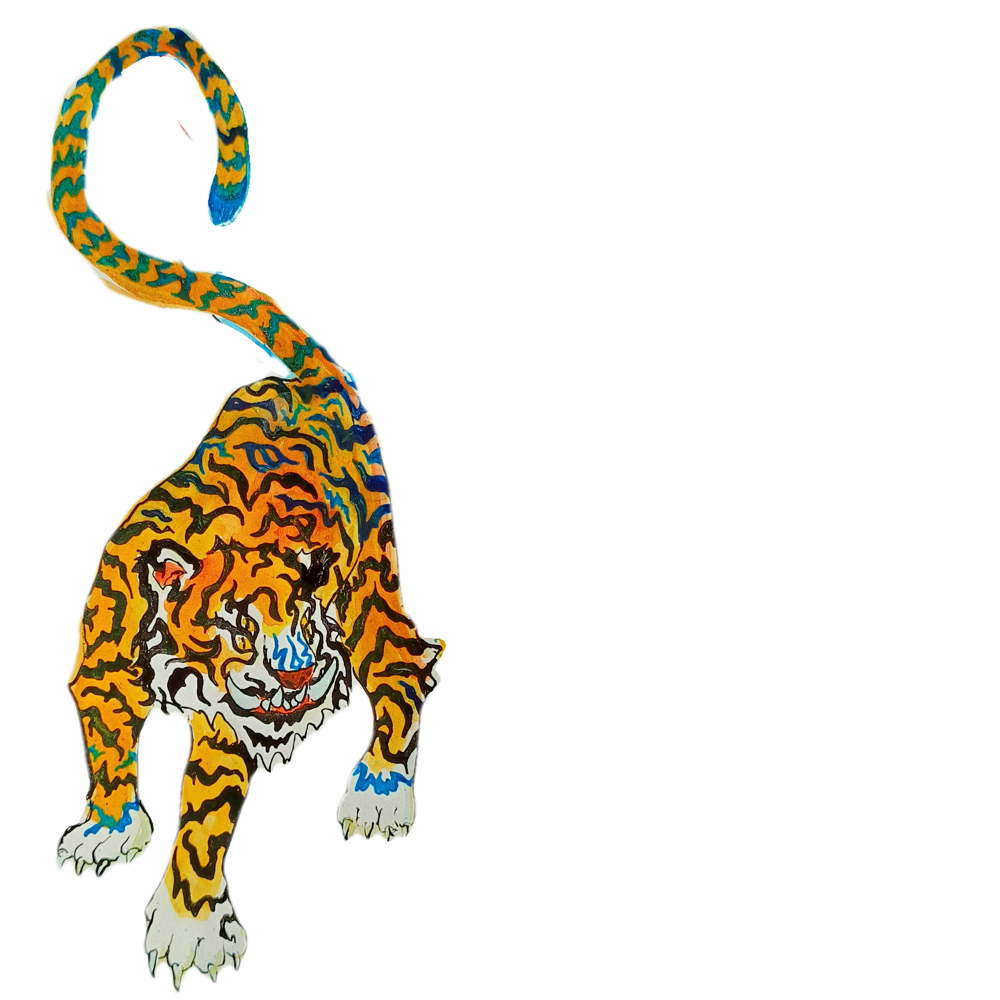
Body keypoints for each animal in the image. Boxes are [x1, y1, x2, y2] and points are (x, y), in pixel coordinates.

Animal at [46, 24, 445, 993]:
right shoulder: (100, 671)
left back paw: (380, 793)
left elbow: (200, 824)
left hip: (377, 593)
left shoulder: (231, 725)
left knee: (409, 665)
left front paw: (187, 933)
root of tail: (309, 373)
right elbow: (106, 746)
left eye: (311, 592)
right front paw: (105, 830)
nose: (298, 679)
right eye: (233, 624)